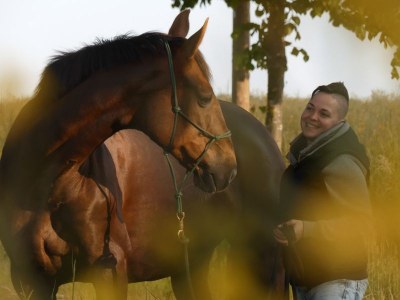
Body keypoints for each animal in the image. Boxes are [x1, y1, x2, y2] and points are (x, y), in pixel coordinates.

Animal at [1, 9, 286, 300]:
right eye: (205, 97)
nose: (228, 167)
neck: (46, 185)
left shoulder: (110, 271)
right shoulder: (30, 279)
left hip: (265, 259)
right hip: (192, 267)